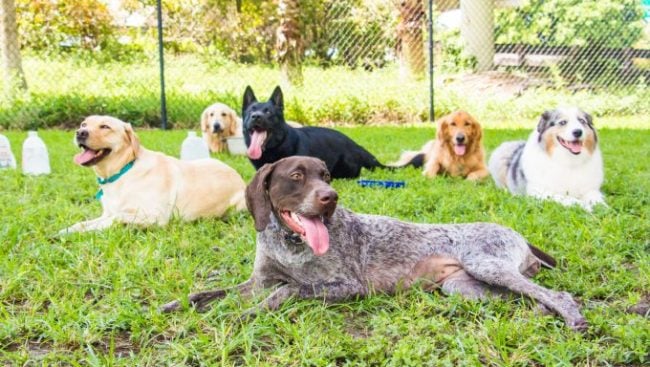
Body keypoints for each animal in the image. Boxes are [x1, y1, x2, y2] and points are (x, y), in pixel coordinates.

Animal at [61, 116, 246, 234]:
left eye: (105, 127)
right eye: (83, 124)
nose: (80, 133)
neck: (122, 172)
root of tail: (238, 176)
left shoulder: (155, 216)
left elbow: (116, 217)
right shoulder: (106, 213)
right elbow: (83, 222)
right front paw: (68, 230)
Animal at [163, 157, 588, 332]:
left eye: (326, 175)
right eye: (296, 176)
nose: (330, 197)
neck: (290, 242)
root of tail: (520, 235)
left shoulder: (346, 286)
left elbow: (288, 290)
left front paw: (243, 316)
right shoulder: (257, 281)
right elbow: (209, 292)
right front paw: (176, 305)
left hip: (487, 266)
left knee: (559, 295)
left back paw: (572, 318)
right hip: (463, 286)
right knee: (530, 300)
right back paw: (539, 314)